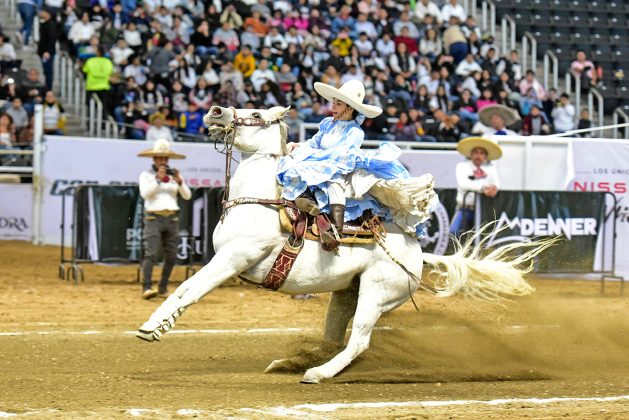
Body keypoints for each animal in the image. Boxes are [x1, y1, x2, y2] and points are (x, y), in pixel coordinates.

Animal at [136, 106, 548, 384]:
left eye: (254, 113)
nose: (216, 111)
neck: (259, 202)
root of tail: (417, 255)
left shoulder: (232, 259)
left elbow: (189, 289)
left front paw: (153, 328)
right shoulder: (223, 258)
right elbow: (184, 288)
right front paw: (155, 323)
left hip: (375, 296)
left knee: (358, 342)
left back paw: (317, 373)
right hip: (346, 294)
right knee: (334, 338)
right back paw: (291, 364)